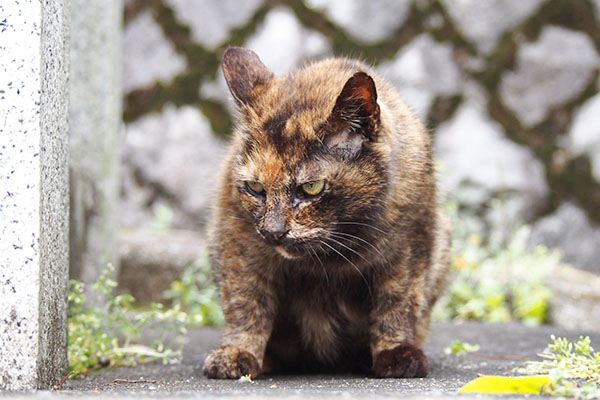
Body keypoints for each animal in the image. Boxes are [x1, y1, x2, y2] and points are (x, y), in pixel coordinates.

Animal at [203, 47, 450, 378]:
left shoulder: (410, 246)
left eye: (311, 188)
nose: (273, 231)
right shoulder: (238, 241)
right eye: (255, 187)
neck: (330, 256)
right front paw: (236, 353)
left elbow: (397, 301)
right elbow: (245, 302)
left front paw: (397, 352)